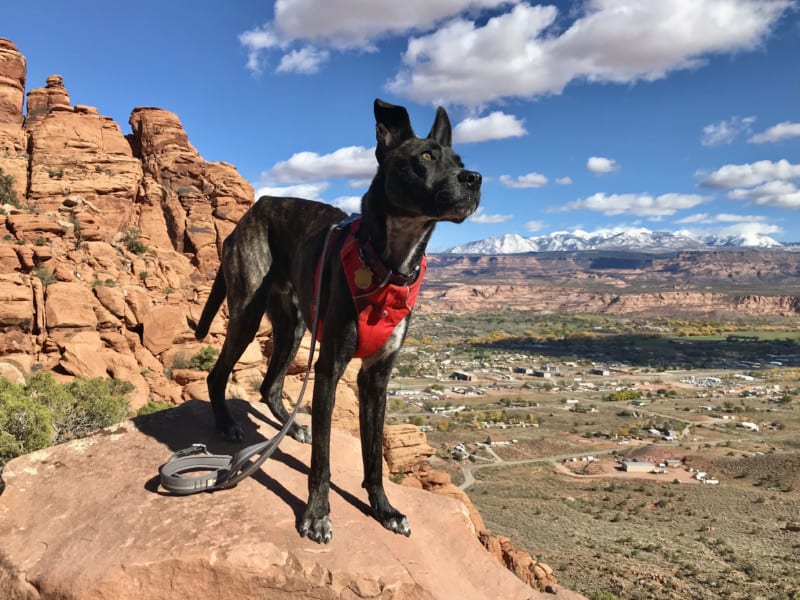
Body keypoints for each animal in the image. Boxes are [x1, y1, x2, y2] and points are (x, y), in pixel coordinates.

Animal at [194, 99, 482, 544]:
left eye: (460, 162)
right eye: (425, 157)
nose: (475, 179)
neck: (389, 266)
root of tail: (253, 210)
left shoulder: (377, 377)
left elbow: (373, 457)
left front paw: (384, 510)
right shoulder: (330, 368)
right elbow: (323, 459)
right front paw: (316, 514)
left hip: (293, 325)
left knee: (269, 384)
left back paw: (291, 428)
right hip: (248, 313)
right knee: (218, 373)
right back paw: (226, 425)